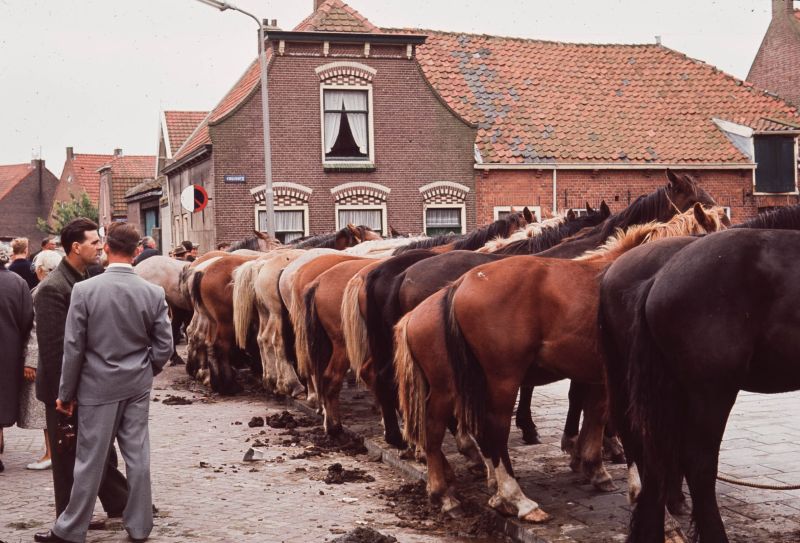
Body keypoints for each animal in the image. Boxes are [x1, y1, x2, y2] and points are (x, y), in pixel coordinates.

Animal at [390, 204, 728, 524]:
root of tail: (458, 286)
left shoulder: (599, 377)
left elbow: (594, 415)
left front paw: (593, 466)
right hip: (497, 380)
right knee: (488, 431)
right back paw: (514, 499)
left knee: (440, 430)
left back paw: (453, 492)